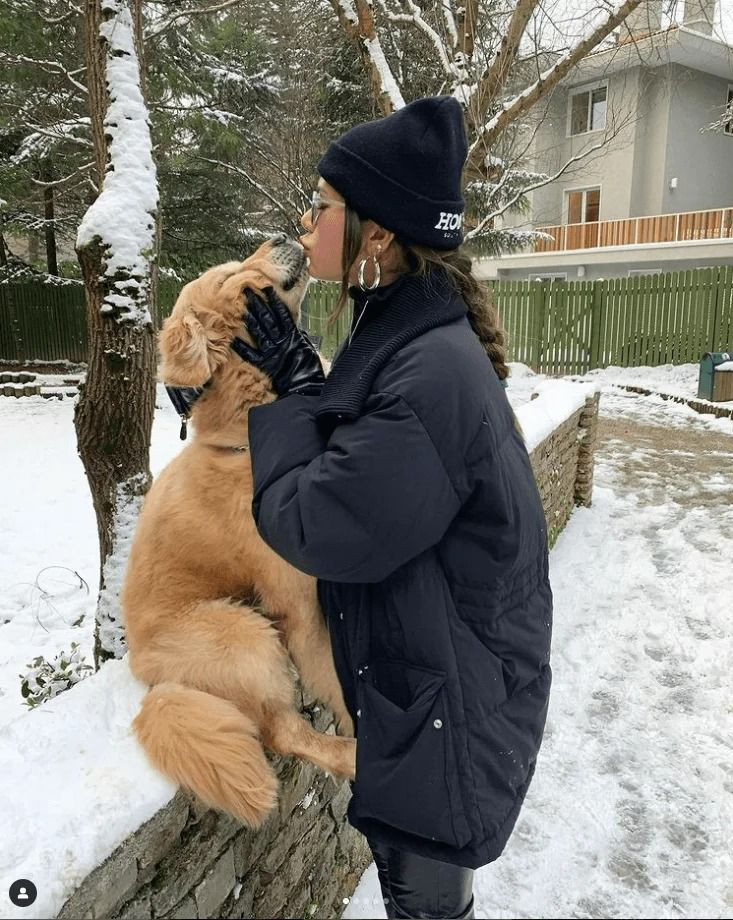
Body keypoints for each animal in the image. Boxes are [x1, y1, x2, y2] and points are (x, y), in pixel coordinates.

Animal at [122, 232, 354, 828]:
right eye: (230, 273)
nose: (283, 235)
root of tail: (148, 679)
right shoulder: (300, 607)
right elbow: (337, 681)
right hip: (244, 634)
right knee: (283, 730)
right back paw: (355, 756)